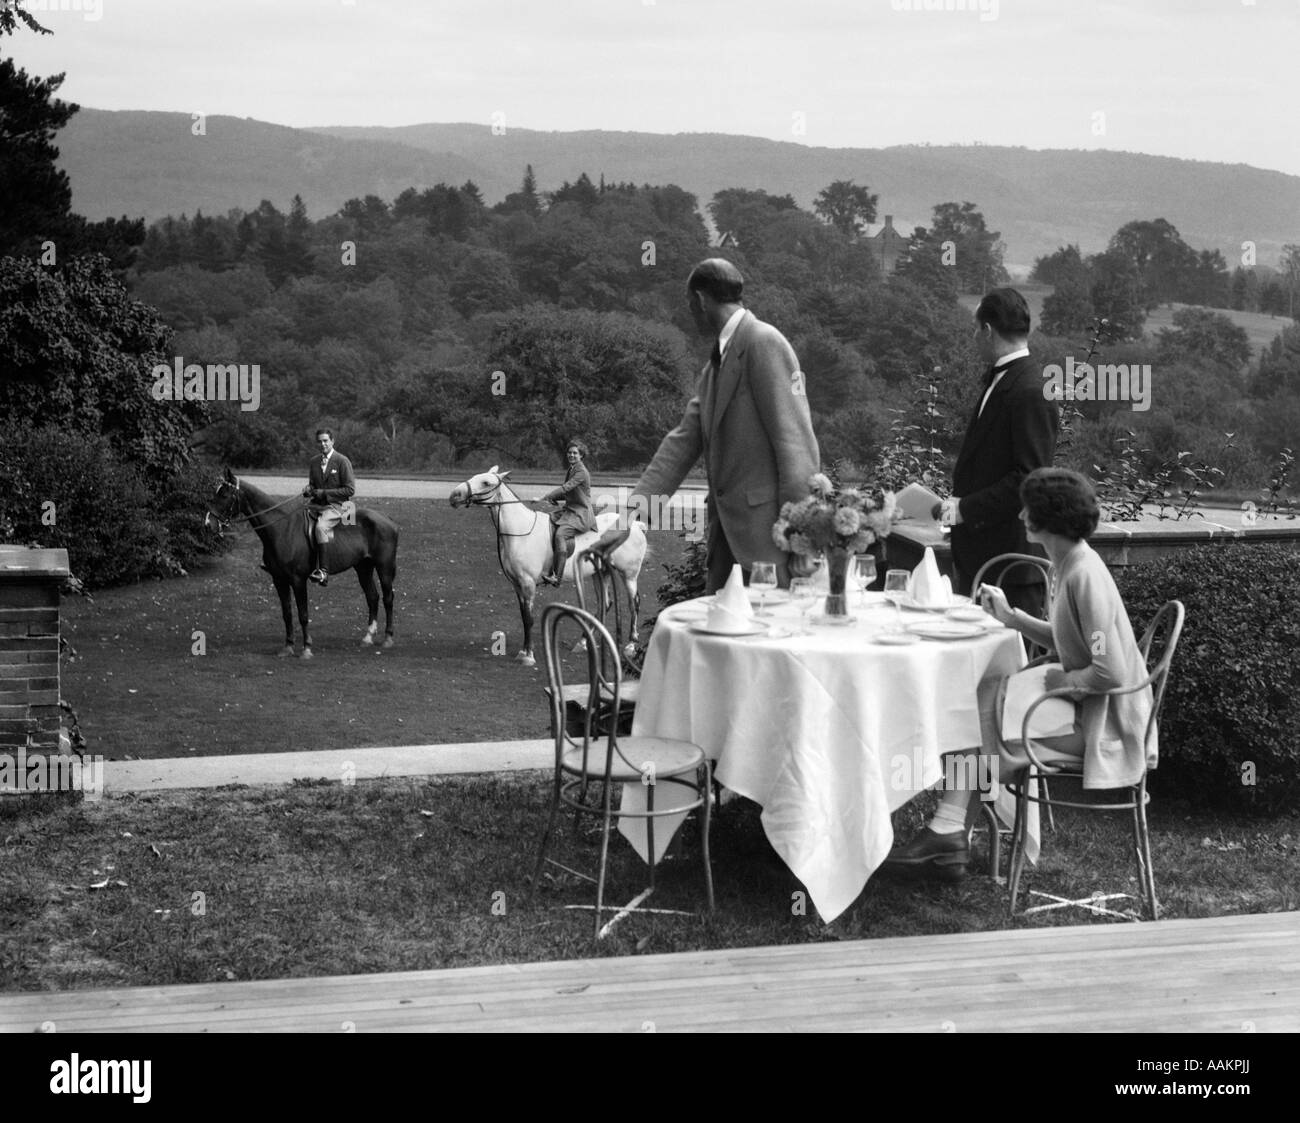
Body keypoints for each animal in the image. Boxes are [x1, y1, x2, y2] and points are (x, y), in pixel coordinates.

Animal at [205, 467, 397, 657]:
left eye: (224, 495)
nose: (208, 524)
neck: (281, 529)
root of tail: (386, 518)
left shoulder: (298, 580)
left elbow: (303, 614)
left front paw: (306, 648)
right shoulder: (279, 580)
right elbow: (287, 613)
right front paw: (288, 646)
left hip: (384, 568)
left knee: (388, 598)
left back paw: (388, 638)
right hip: (363, 568)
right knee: (372, 597)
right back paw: (368, 637)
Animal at [449, 465, 647, 665]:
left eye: (486, 482)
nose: (454, 496)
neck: (521, 531)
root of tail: (636, 525)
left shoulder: (527, 583)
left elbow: (529, 618)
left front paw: (528, 655)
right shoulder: (517, 585)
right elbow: (523, 617)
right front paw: (523, 651)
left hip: (629, 574)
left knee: (634, 603)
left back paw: (631, 645)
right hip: (600, 573)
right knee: (604, 604)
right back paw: (583, 641)